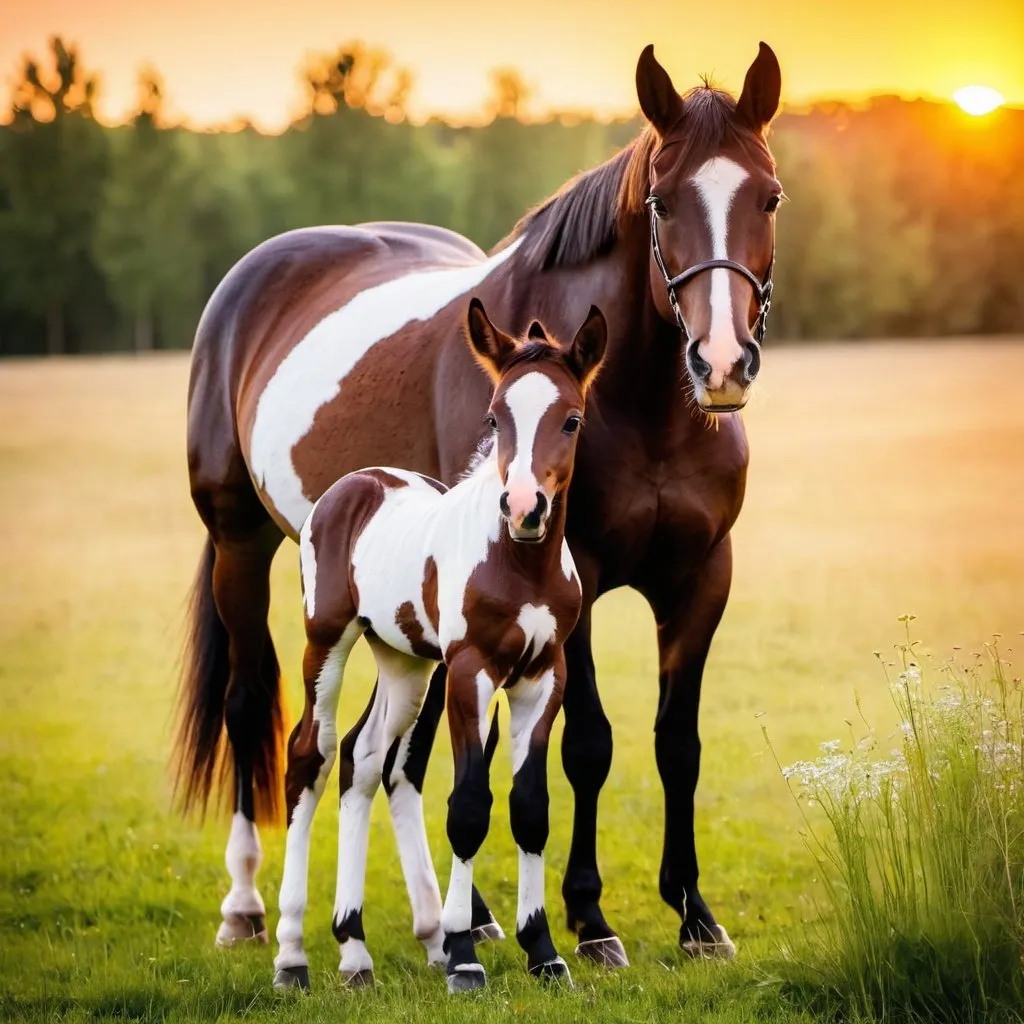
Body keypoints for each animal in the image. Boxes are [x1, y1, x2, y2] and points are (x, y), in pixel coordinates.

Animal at [272, 296, 606, 991]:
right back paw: (291, 955)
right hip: (328, 643)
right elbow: (469, 805)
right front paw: (463, 955)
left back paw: (355, 949)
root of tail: (354, 485)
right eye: (495, 417)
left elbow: (530, 806)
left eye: (571, 419)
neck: (519, 564)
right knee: (311, 755)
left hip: (403, 664)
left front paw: (543, 951)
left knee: (362, 756)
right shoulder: (470, 672)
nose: (525, 508)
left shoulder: (543, 677)